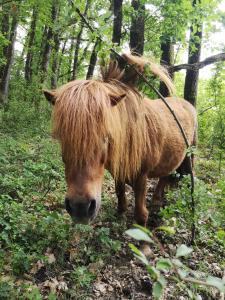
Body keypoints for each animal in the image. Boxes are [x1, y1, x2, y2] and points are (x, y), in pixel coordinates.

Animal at [44, 54, 197, 226]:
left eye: (106, 136)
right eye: (61, 137)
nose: (80, 207)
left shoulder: (141, 176)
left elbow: (140, 214)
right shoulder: (117, 171)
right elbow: (119, 191)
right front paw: (121, 212)